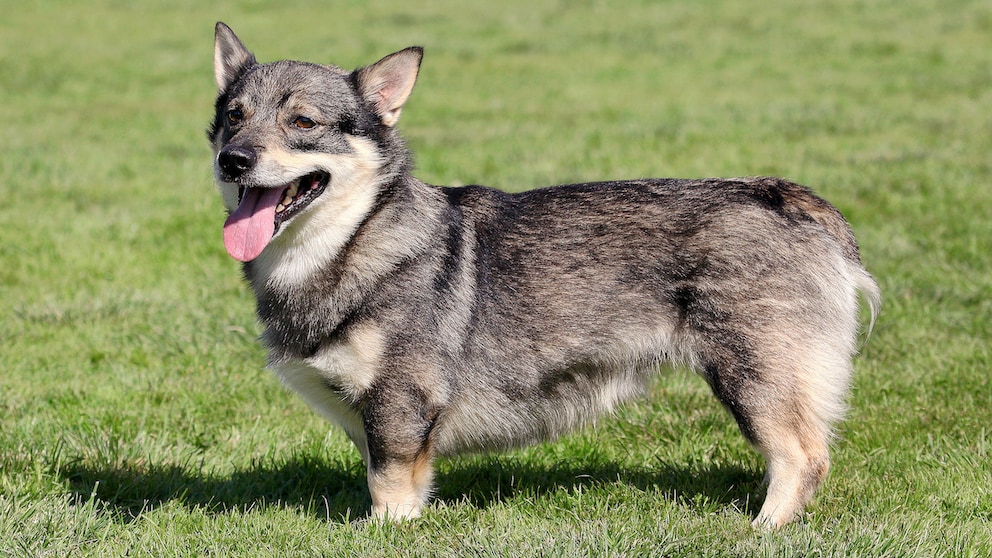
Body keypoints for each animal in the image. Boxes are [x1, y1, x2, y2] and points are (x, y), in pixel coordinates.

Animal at [209, 23, 884, 528]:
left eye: (302, 123)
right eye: (233, 116)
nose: (232, 159)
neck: (353, 239)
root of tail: (788, 198)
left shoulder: (401, 403)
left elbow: (389, 486)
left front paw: (385, 534)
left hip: (753, 374)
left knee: (803, 456)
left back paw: (763, 529)